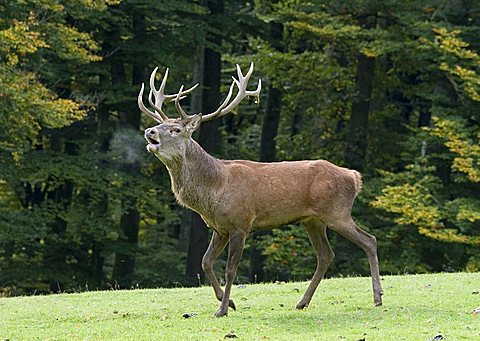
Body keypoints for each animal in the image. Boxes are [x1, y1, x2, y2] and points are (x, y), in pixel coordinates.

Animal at [138, 62, 382, 314]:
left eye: (176, 130)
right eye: (160, 124)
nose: (150, 131)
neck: (214, 191)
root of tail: (354, 177)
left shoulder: (241, 224)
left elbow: (230, 270)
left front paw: (222, 309)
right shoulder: (219, 228)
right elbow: (205, 262)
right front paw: (229, 302)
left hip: (337, 212)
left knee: (369, 240)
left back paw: (377, 297)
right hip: (312, 220)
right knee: (326, 255)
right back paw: (302, 302)